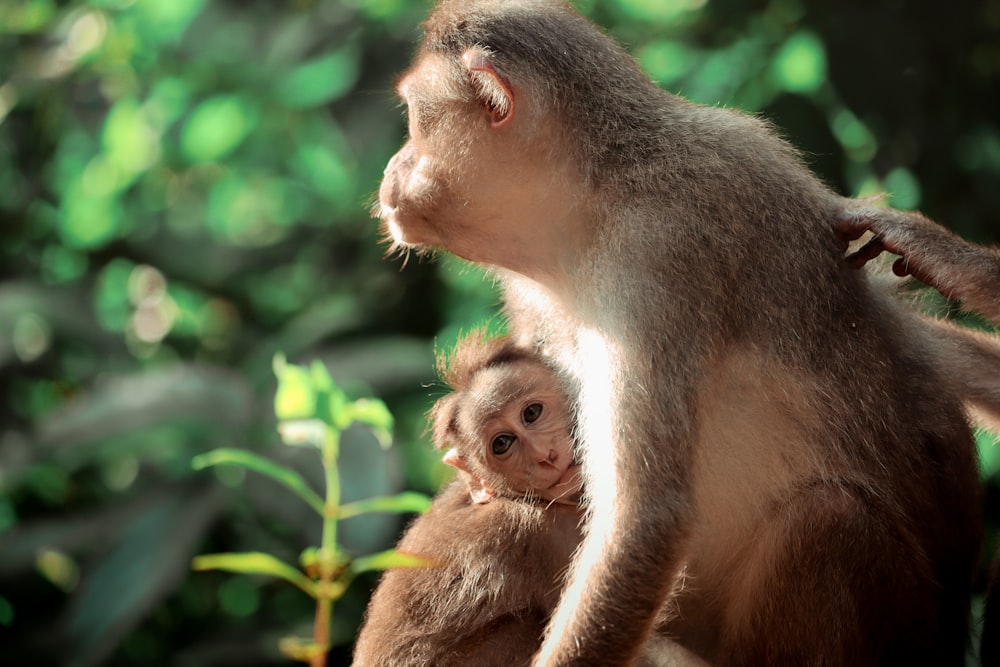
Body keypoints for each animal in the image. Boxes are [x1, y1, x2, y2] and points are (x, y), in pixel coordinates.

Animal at [374, 2, 976, 664]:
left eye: (411, 118)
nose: (391, 167)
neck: (594, 202)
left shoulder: (655, 256)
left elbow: (644, 522)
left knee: (828, 517)